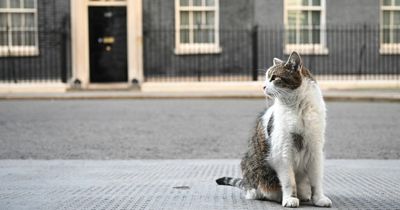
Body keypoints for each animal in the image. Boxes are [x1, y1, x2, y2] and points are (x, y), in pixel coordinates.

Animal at [217, 51, 332, 208]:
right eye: (266, 78)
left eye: (274, 77)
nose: (263, 86)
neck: (297, 109)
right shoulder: (283, 153)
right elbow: (289, 182)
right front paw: (290, 198)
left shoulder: (315, 151)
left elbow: (316, 181)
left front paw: (319, 198)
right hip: (250, 166)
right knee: (254, 189)